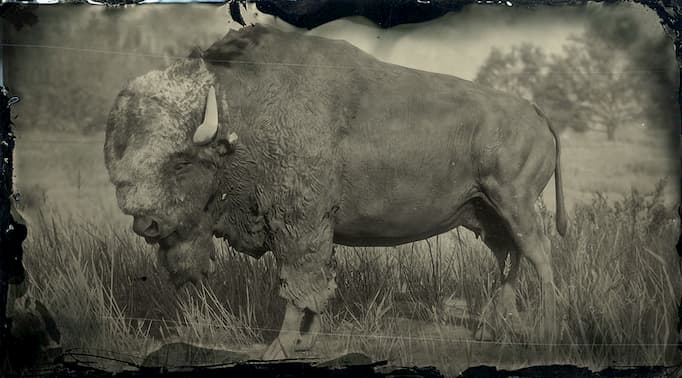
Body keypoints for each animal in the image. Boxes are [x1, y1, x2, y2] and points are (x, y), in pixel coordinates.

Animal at [103, 25, 564, 358]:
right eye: (123, 164)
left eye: (180, 161)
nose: (146, 223)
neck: (241, 114)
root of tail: (535, 111)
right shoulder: (311, 230)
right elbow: (318, 285)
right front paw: (307, 341)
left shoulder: (298, 224)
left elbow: (299, 285)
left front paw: (279, 346)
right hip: (485, 212)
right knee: (508, 257)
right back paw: (494, 328)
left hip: (515, 203)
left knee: (538, 255)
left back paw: (543, 331)